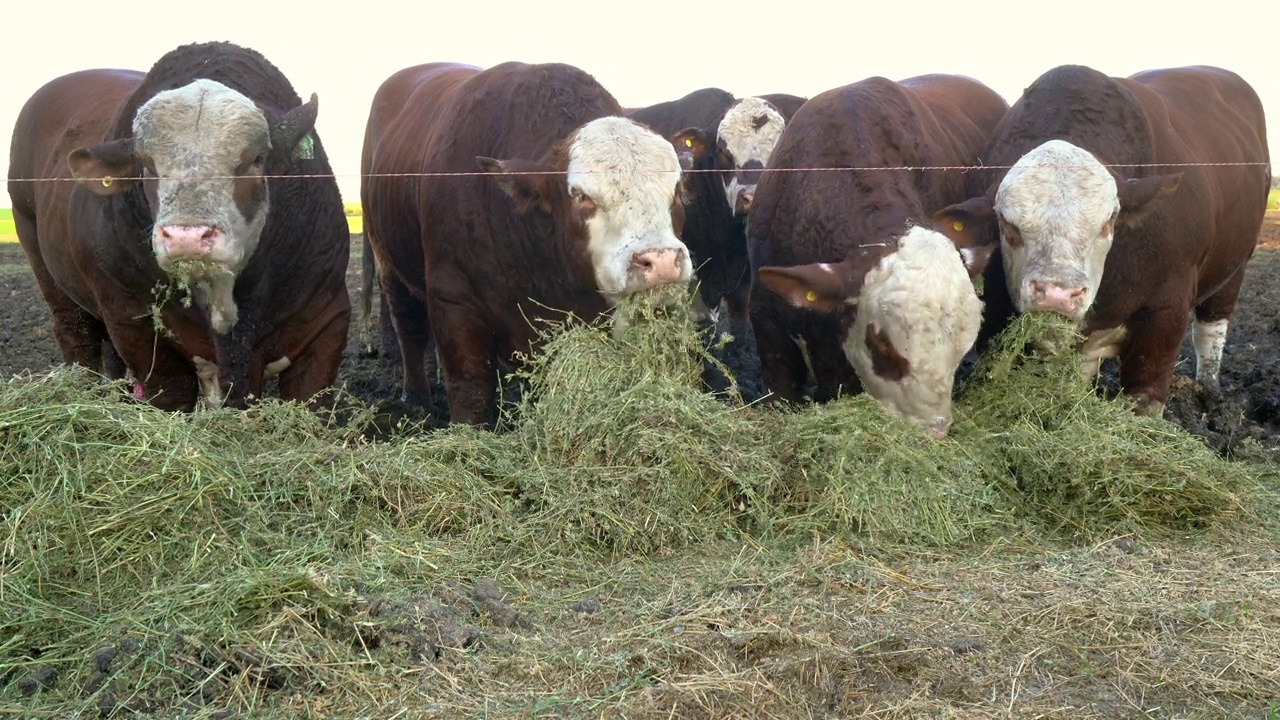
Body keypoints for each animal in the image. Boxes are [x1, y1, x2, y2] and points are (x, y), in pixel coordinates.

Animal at [8, 40, 355, 409]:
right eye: (146, 164)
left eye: (257, 159)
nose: (186, 236)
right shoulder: (136, 330)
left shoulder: (326, 322)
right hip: (48, 273)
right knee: (77, 339)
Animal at [360, 63, 696, 425]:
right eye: (580, 196)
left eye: (678, 188)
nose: (661, 261)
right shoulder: (454, 303)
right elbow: (470, 392)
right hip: (386, 260)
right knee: (408, 324)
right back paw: (417, 397)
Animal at [936, 67, 1274, 417]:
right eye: (1007, 223)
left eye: (1109, 222)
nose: (1058, 294)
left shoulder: (1165, 317)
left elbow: (1145, 399)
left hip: (1235, 267)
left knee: (1211, 327)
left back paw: (1209, 391)